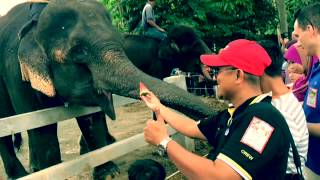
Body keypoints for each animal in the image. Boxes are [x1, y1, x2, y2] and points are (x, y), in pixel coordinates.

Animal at [0, 0, 216, 179]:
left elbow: (90, 116)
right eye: (78, 51)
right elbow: (41, 127)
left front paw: (107, 172)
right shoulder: (15, 73)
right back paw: (21, 174)